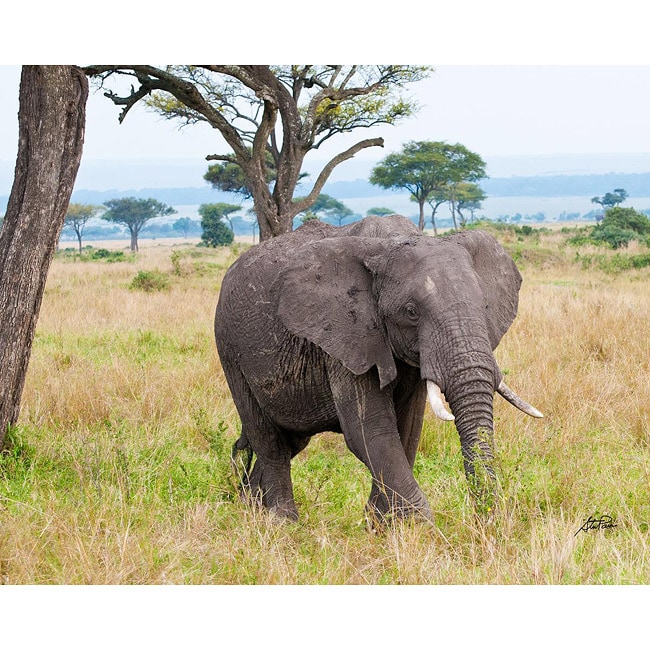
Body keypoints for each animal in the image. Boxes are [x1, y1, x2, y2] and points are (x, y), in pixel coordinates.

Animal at [214, 215, 540, 524]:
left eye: (485, 307)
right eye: (411, 312)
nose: (487, 522)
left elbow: (408, 429)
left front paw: (381, 524)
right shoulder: (347, 334)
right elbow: (371, 430)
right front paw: (416, 528)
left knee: (291, 439)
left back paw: (251, 507)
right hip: (230, 348)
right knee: (268, 439)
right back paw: (282, 521)